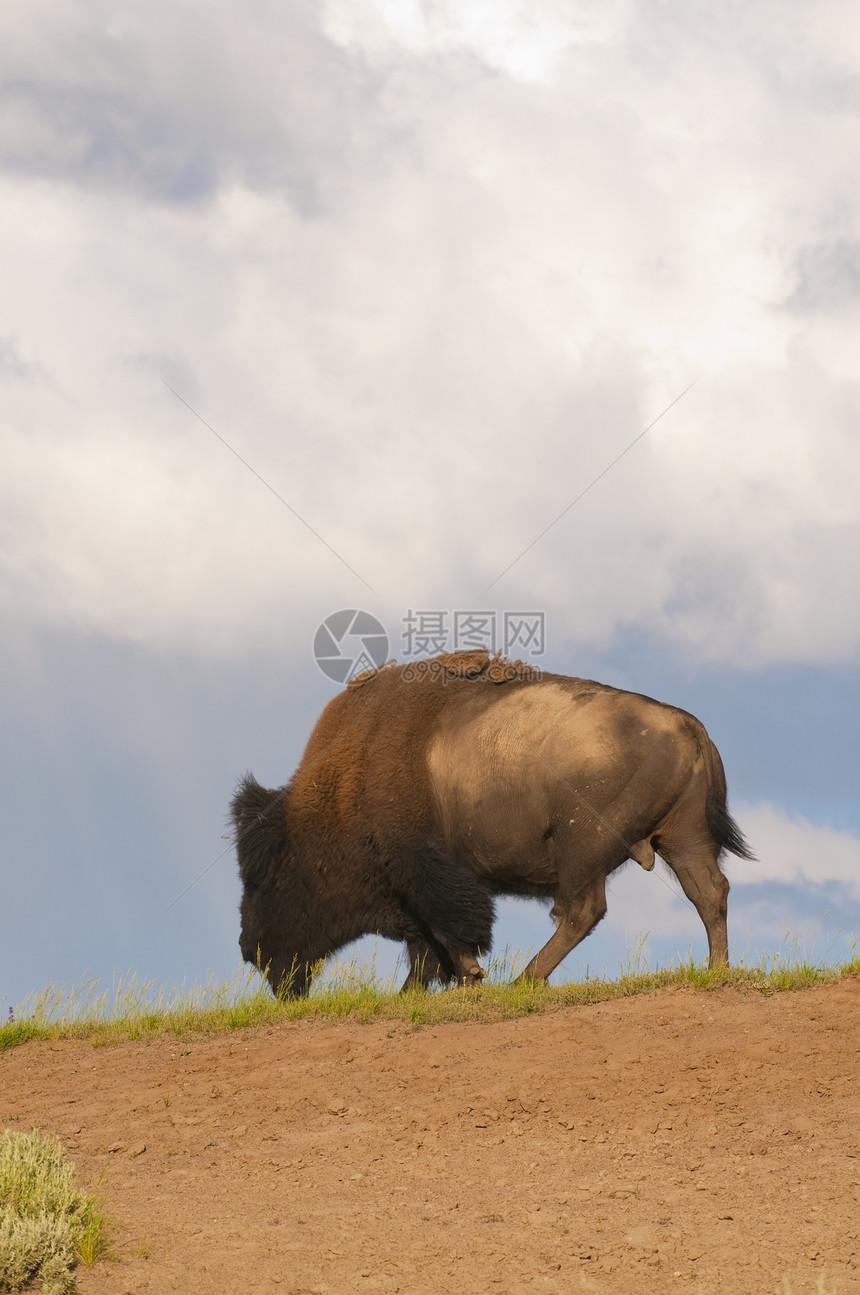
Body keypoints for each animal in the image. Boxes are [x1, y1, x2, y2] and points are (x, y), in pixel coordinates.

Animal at [235, 652, 751, 994]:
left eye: (264, 878)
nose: (248, 947)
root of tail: (690, 728)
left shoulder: (425, 875)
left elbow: (446, 934)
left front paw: (472, 978)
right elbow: (426, 948)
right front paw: (418, 993)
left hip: (584, 846)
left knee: (583, 910)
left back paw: (525, 980)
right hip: (682, 838)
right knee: (709, 893)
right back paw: (717, 969)